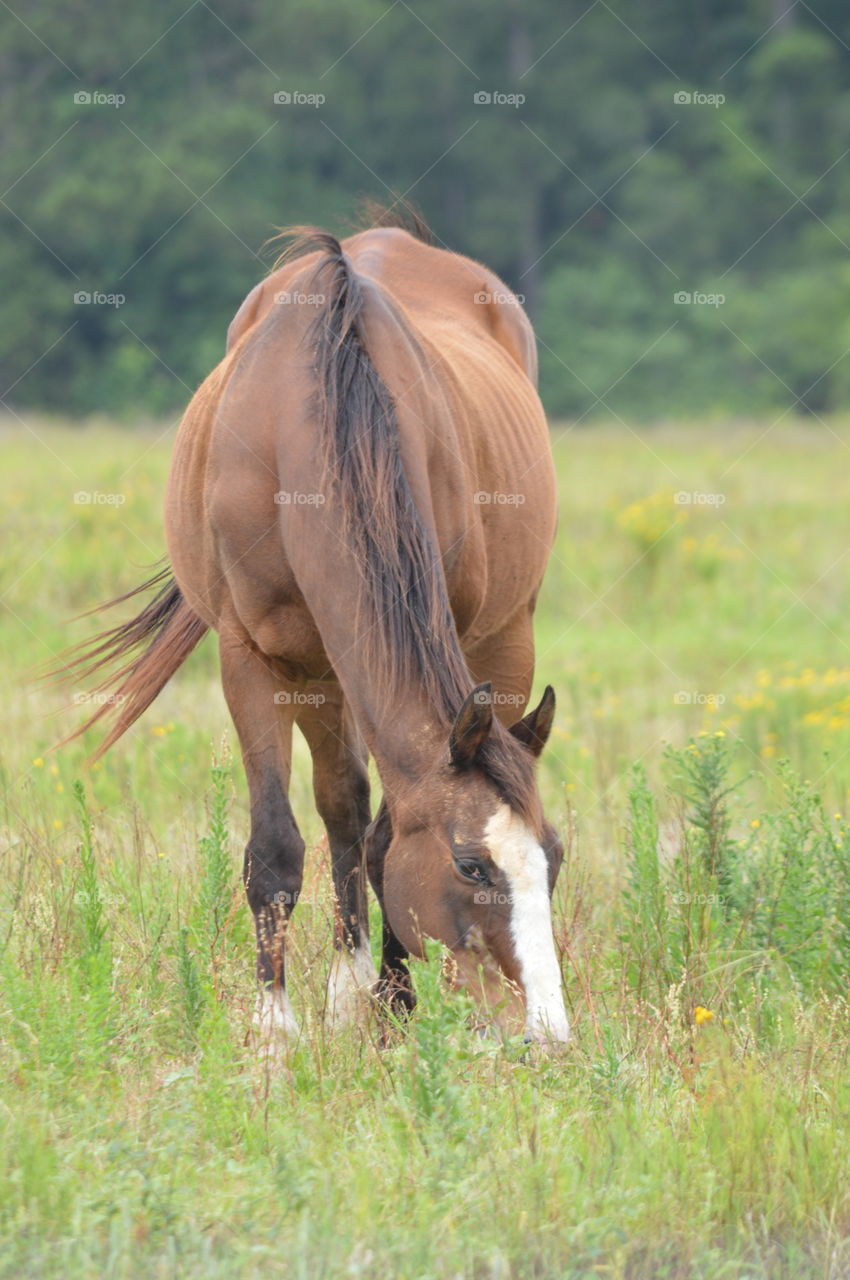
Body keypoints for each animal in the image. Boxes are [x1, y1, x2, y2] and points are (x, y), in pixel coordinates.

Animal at [58, 208, 570, 1051]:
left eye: (552, 860)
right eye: (471, 866)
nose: (547, 1034)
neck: (307, 424)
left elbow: (388, 834)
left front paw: (391, 1006)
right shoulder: (251, 658)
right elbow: (278, 846)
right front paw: (274, 1032)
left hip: (489, 640)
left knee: (357, 817)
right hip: (320, 671)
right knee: (341, 810)